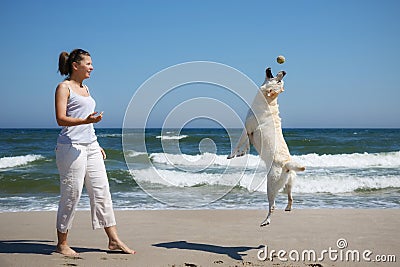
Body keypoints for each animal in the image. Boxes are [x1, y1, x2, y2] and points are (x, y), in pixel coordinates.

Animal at [228, 67, 306, 226]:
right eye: (279, 80)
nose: (284, 71)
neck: (269, 101)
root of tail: (287, 163)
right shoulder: (249, 133)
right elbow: (246, 145)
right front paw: (242, 153)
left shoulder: (247, 128)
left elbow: (239, 142)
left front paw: (232, 155)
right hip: (289, 183)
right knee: (291, 197)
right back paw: (288, 208)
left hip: (270, 186)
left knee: (273, 206)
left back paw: (266, 221)